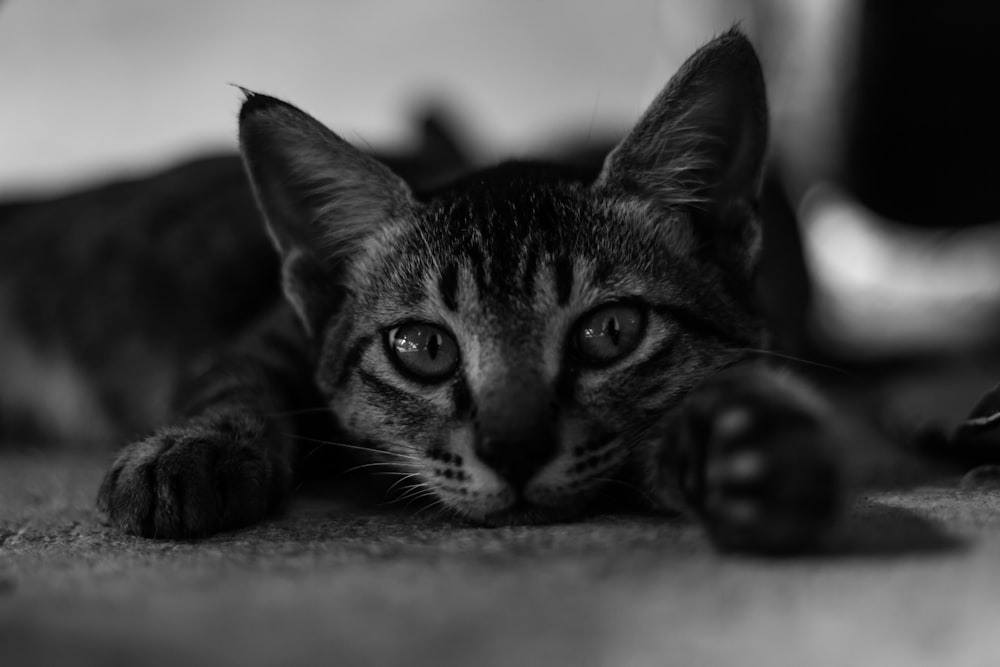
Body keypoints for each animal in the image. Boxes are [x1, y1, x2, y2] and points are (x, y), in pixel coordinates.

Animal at [3, 30, 996, 552]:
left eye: (610, 331)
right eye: (423, 347)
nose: (513, 450)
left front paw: (737, 443)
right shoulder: (267, 329)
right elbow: (233, 382)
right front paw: (194, 449)